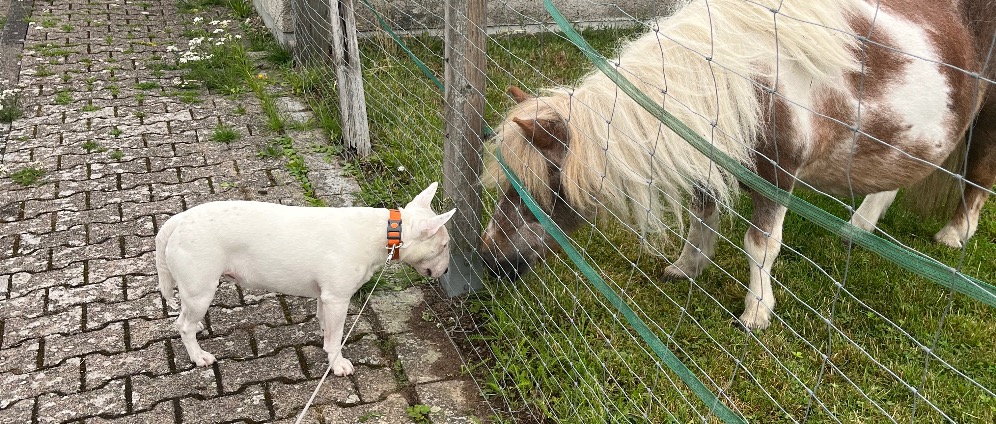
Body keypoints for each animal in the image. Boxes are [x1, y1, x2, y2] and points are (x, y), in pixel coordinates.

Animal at [481, 0, 996, 330]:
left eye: (544, 187)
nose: (490, 260)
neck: (746, 80)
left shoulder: (778, 178)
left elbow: (760, 245)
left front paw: (755, 314)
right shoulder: (709, 151)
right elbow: (701, 215)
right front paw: (685, 268)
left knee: (979, 175)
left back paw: (955, 234)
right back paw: (858, 228)